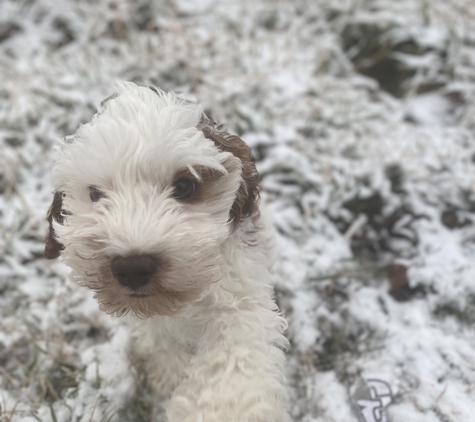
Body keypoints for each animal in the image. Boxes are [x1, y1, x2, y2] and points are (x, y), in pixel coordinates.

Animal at [45, 83, 290, 422]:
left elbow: (233, 363)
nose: (133, 268)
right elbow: (158, 341)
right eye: (95, 194)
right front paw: (168, 378)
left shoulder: (241, 302)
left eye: (185, 187)